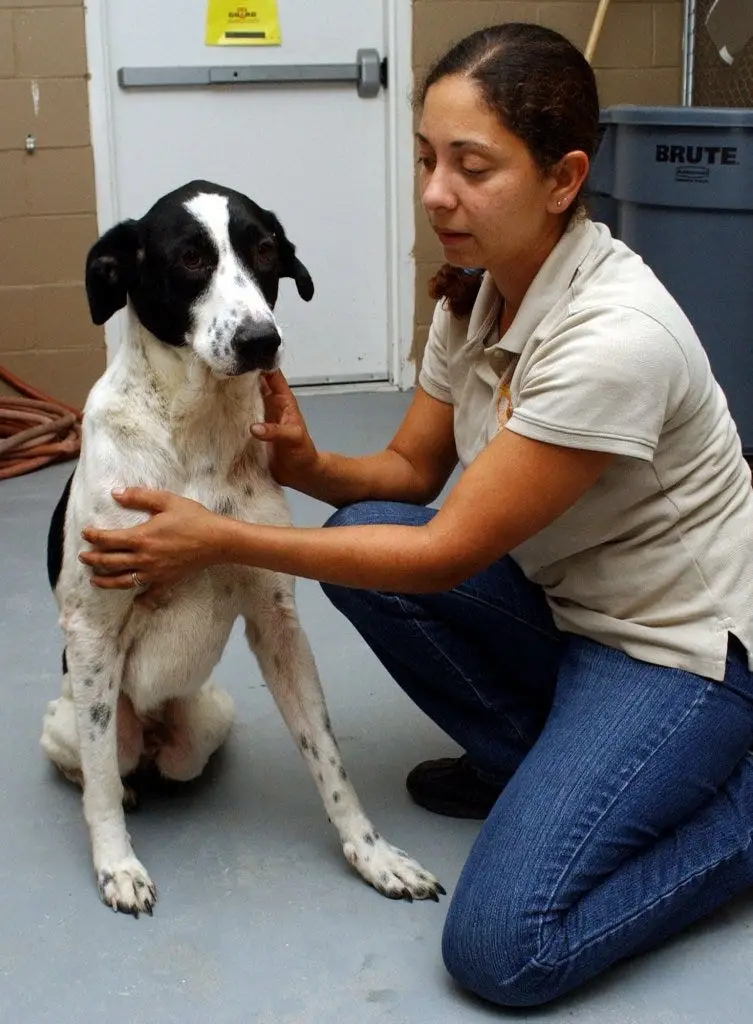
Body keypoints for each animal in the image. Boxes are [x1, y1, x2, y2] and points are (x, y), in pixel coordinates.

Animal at [41, 180, 444, 917]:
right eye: (189, 258)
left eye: (263, 250)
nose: (262, 340)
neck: (194, 428)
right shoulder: (92, 627)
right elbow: (101, 784)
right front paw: (117, 866)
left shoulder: (275, 619)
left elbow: (327, 756)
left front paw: (371, 855)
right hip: (73, 715)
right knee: (99, 765)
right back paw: (120, 789)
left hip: (205, 719)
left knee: (171, 761)